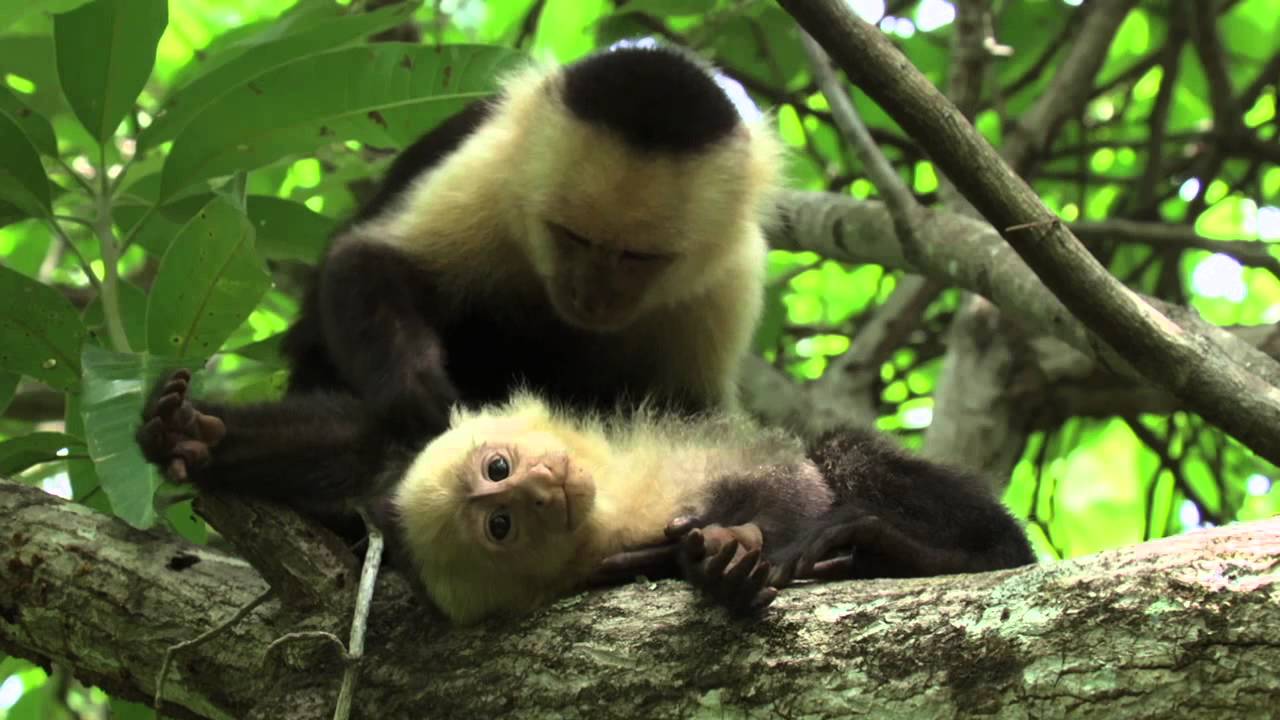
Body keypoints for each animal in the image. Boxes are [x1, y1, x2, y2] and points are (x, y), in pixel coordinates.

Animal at [138, 371, 1035, 624]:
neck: (609, 508)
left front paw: (197, 434)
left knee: (840, 458)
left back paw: (918, 549)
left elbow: (784, 480)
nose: (543, 484)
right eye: (500, 524)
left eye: (499, 467)